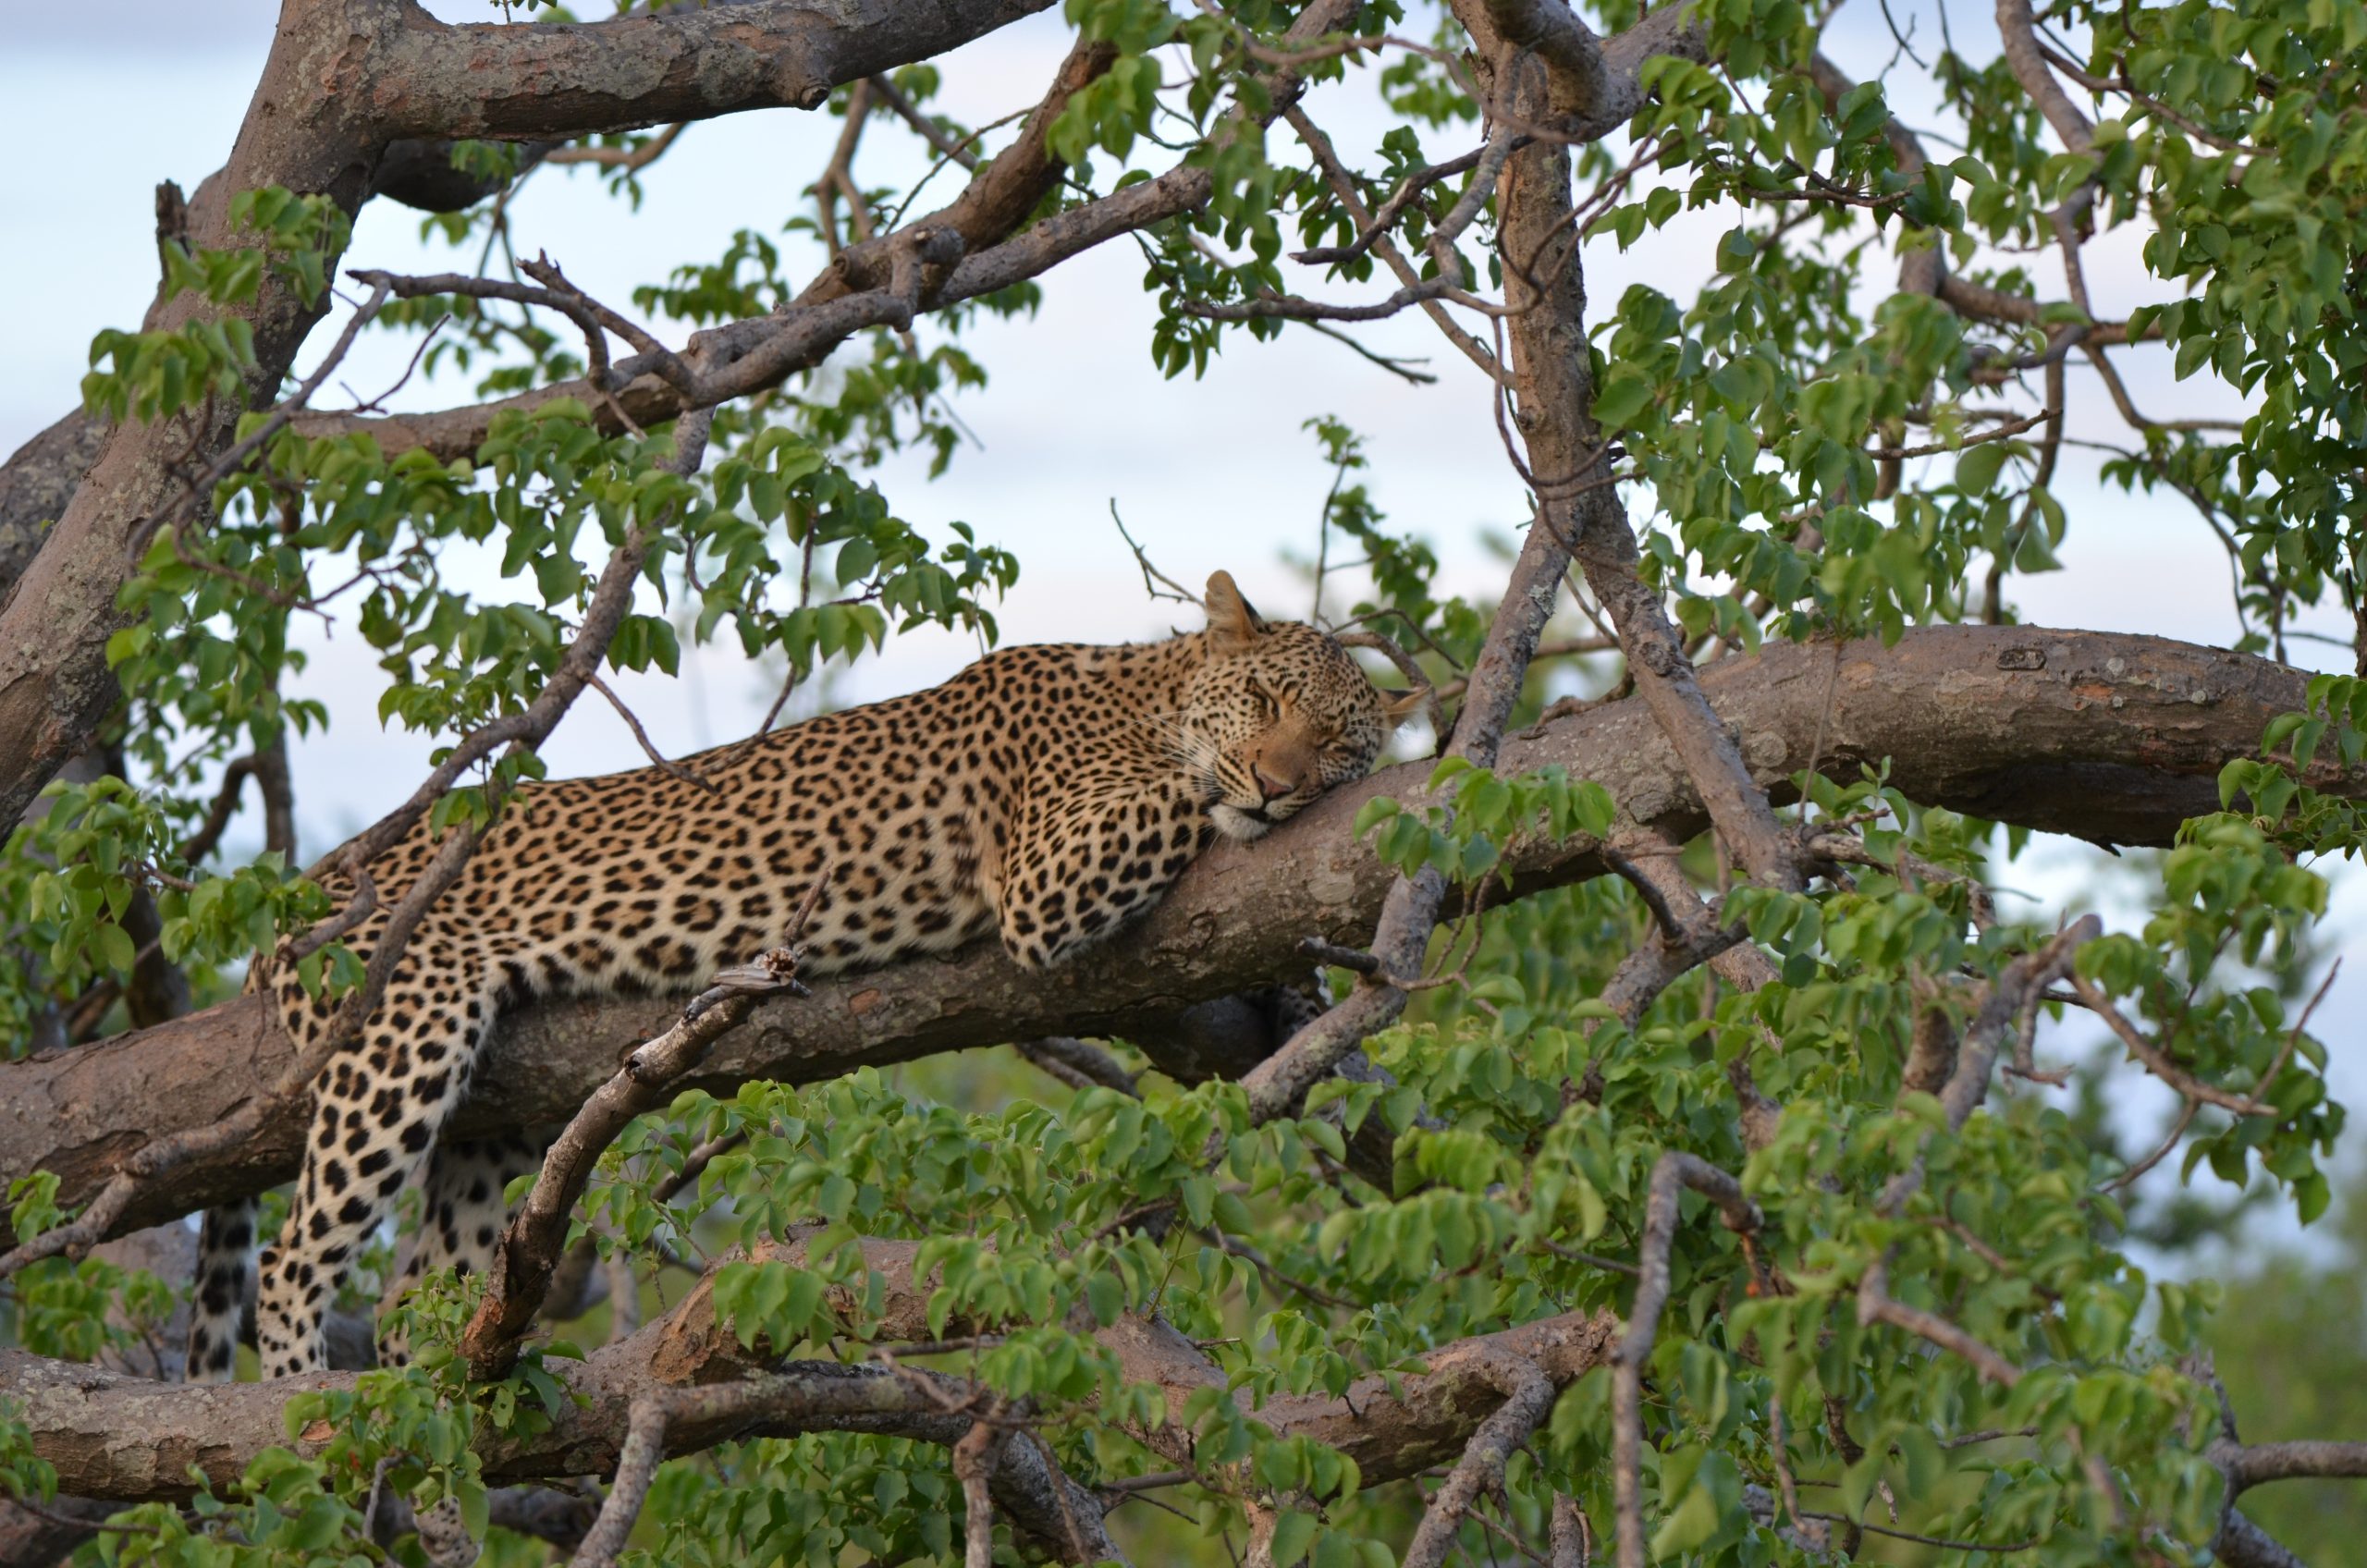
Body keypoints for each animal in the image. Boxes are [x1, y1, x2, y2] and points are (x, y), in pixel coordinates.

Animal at [185, 570, 1422, 1381]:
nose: (1281, 783)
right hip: (400, 1027)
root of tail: (316, 877)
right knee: (293, 1257)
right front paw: (1228, 801)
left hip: (497, 1123)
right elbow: (1184, 801)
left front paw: (1305, 998)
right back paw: (302, 1406)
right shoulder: (1045, 874)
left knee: (416, 1288)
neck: (1147, 685)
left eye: (1339, 743)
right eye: (1267, 705)